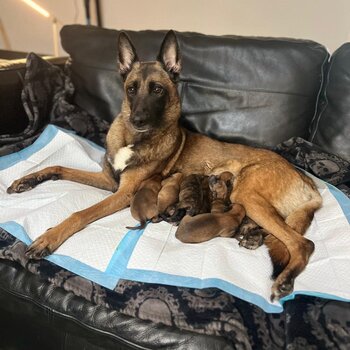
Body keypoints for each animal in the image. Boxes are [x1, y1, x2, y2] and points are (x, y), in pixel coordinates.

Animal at [6, 30, 322, 300]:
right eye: (131, 89)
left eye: (157, 90)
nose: (138, 120)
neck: (133, 139)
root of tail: (311, 184)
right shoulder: (109, 181)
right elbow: (59, 167)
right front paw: (27, 179)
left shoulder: (123, 193)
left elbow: (80, 214)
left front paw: (49, 238)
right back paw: (252, 236)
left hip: (246, 193)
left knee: (303, 243)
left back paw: (284, 280)